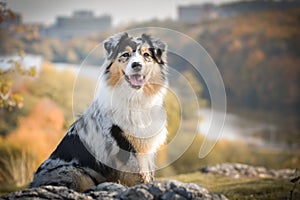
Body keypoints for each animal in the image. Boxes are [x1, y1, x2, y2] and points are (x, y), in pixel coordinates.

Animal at [29, 32, 169, 191]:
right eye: (125, 55)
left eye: (146, 55)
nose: (137, 65)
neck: (136, 101)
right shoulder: (127, 148)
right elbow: (139, 177)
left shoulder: (147, 149)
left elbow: (148, 175)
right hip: (76, 173)